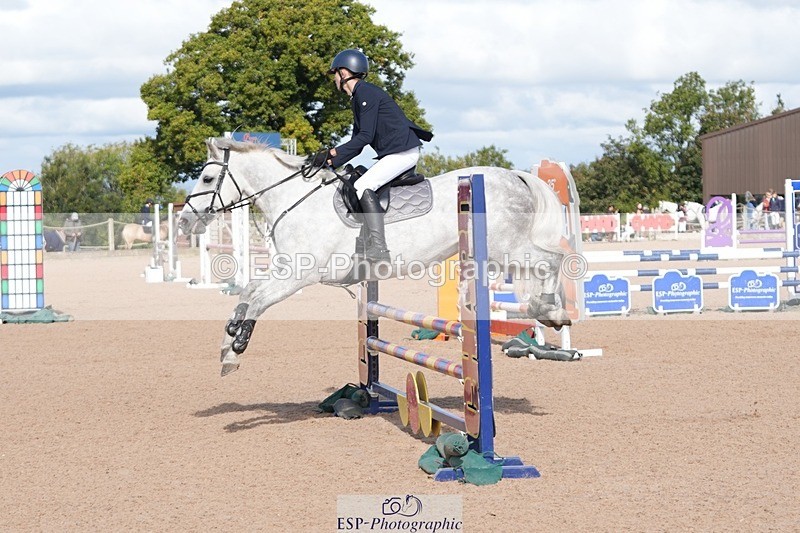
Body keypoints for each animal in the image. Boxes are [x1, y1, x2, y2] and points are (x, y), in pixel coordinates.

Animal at [178, 137, 572, 376]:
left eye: (207, 178)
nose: (184, 221)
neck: (296, 200)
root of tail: (516, 176)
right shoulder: (287, 269)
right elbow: (248, 293)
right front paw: (228, 345)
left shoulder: (300, 276)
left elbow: (259, 301)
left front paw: (237, 345)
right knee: (545, 263)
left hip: (507, 247)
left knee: (551, 261)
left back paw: (551, 311)